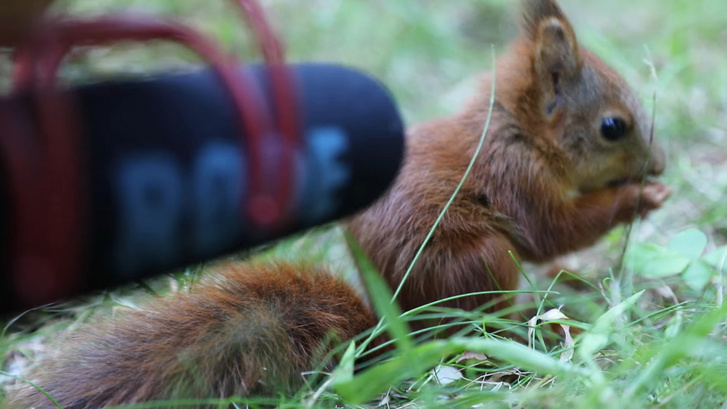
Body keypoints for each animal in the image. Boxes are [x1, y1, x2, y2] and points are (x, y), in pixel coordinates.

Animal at [2, 1, 672, 406]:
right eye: (613, 126)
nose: (661, 164)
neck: (518, 132)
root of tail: (397, 327)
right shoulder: (520, 181)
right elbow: (555, 229)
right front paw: (640, 198)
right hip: (481, 259)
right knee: (486, 319)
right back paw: (538, 327)